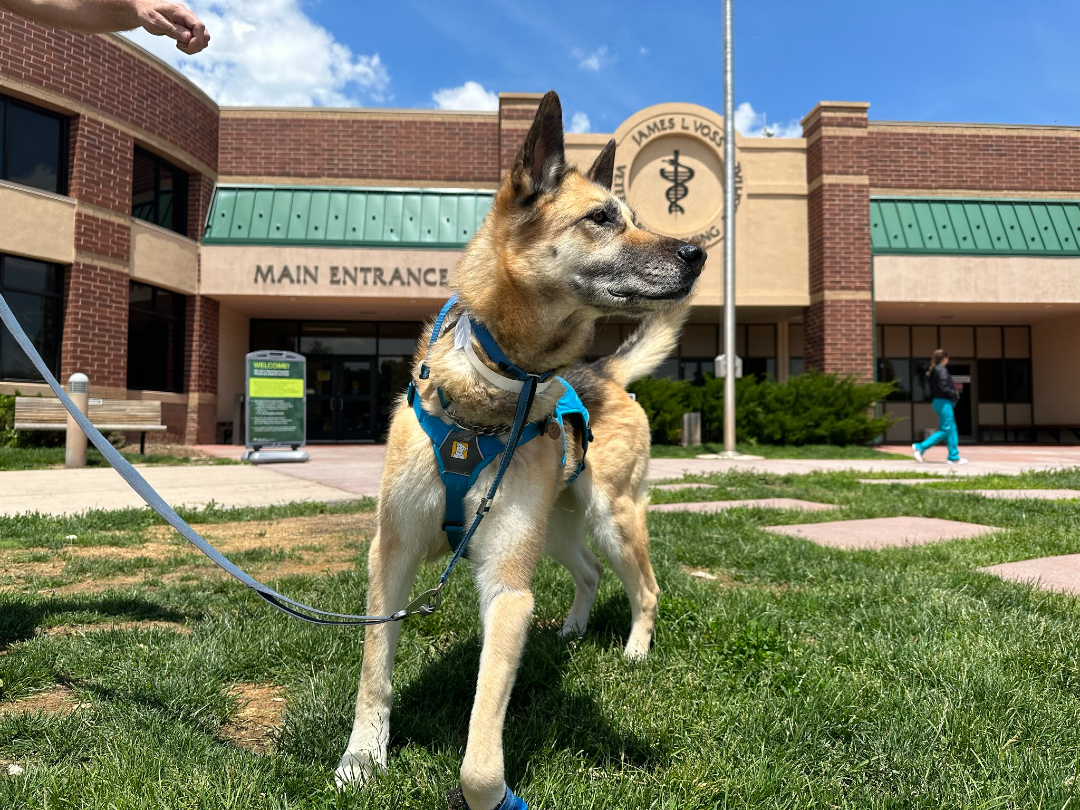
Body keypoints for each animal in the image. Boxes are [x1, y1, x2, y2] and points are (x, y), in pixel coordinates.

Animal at [336, 90, 708, 810]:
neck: (494, 382)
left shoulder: (507, 586)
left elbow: (480, 759)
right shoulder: (390, 556)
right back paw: (571, 632)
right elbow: (374, 671)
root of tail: (602, 371)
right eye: (602, 218)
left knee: (647, 588)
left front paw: (491, 793)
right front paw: (363, 756)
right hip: (559, 528)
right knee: (589, 573)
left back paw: (635, 651)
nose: (697, 252)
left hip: (612, 518)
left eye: (635, 218)